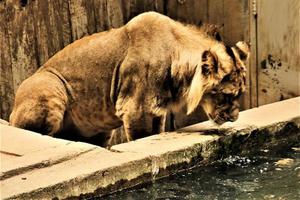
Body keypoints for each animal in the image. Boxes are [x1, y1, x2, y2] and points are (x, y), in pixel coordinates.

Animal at [8, 11, 248, 145]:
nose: (235, 117)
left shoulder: (156, 112)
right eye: (227, 95)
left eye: (241, 94)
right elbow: (142, 139)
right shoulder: (135, 110)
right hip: (50, 86)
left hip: (101, 131)